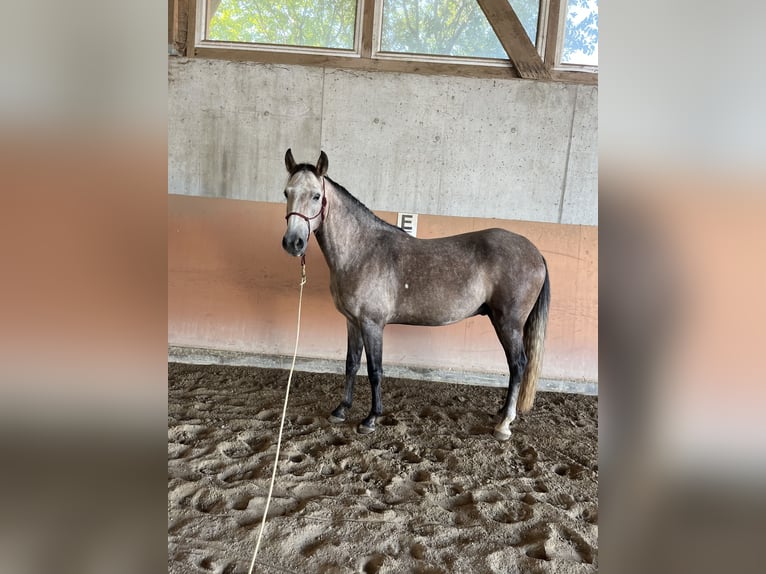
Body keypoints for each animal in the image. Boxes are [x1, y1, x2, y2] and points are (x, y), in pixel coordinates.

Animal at [281, 149, 550, 441]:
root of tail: (535, 252)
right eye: (286, 192)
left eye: (316, 195)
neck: (362, 251)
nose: (293, 242)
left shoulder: (372, 324)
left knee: (518, 364)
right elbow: (351, 363)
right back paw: (501, 413)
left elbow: (375, 370)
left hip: (508, 322)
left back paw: (504, 424)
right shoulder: (353, 322)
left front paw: (371, 419)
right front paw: (341, 410)